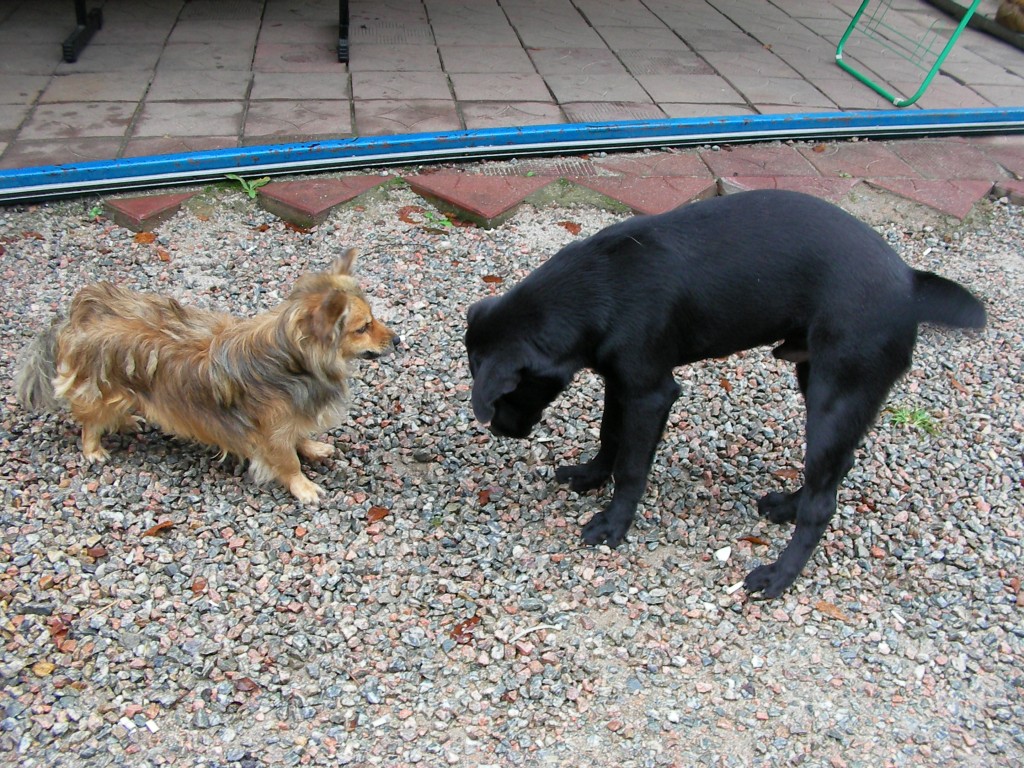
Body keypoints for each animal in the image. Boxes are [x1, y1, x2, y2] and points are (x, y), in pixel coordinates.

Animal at [15, 249, 398, 504]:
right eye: (363, 327)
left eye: (374, 318)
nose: (397, 339)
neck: (293, 359)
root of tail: (76, 317)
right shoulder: (271, 431)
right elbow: (287, 461)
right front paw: (303, 486)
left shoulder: (291, 418)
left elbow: (299, 437)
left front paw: (313, 447)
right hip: (100, 390)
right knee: (90, 422)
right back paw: (93, 448)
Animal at [465, 190, 985, 597]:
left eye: (505, 396)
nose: (504, 432)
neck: (602, 283)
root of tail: (910, 283)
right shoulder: (621, 382)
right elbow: (609, 437)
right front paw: (591, 476)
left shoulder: (651, 393)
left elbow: (631, 467)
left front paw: (614, 523)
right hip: (819, 384)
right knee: (836, 470)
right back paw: (787, 506)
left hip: (835, 397)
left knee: (823, 504)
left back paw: (780, 575)